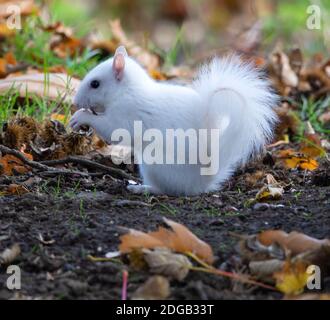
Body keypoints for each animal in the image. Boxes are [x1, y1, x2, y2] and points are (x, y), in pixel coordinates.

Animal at [70, 45, 278, 195]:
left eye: (95, 84)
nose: (75, 101)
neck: (126, 91)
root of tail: (202, 182)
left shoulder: (127, 114)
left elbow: (113, 131)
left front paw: (79, 116)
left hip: (155, 165)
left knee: (167, 190)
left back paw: (142, 188)